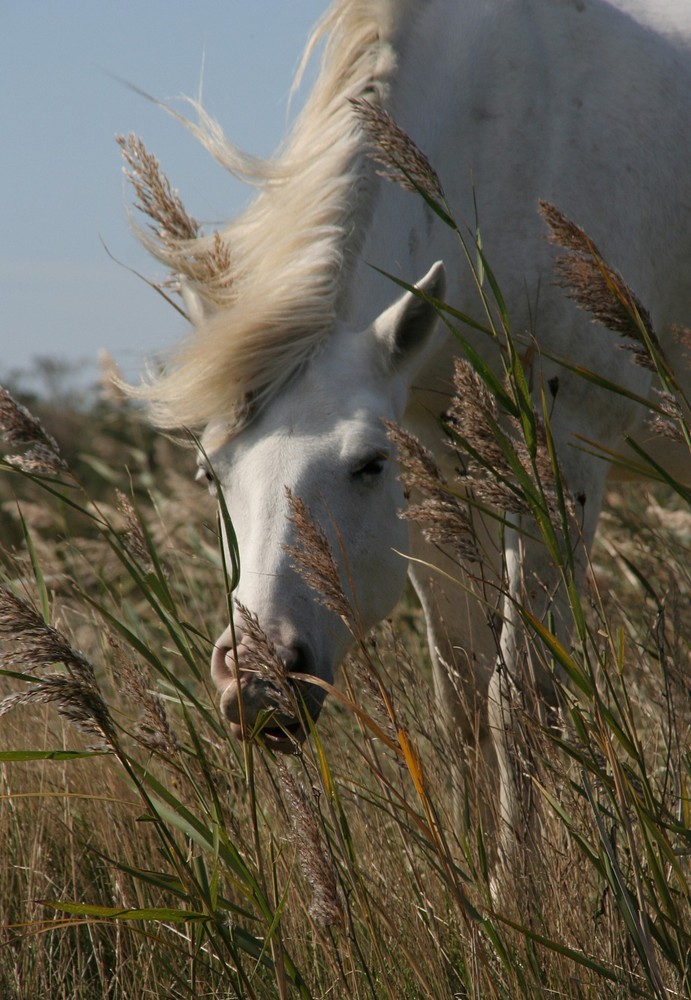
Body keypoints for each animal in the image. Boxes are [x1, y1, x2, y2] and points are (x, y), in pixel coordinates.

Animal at [128, 3, 688, 852]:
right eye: (209, 473)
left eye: (366, 463)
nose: (258, 682)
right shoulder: (437, 484)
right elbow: (461, 705)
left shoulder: (561, 471)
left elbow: (520, 707)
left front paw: (515, 885)